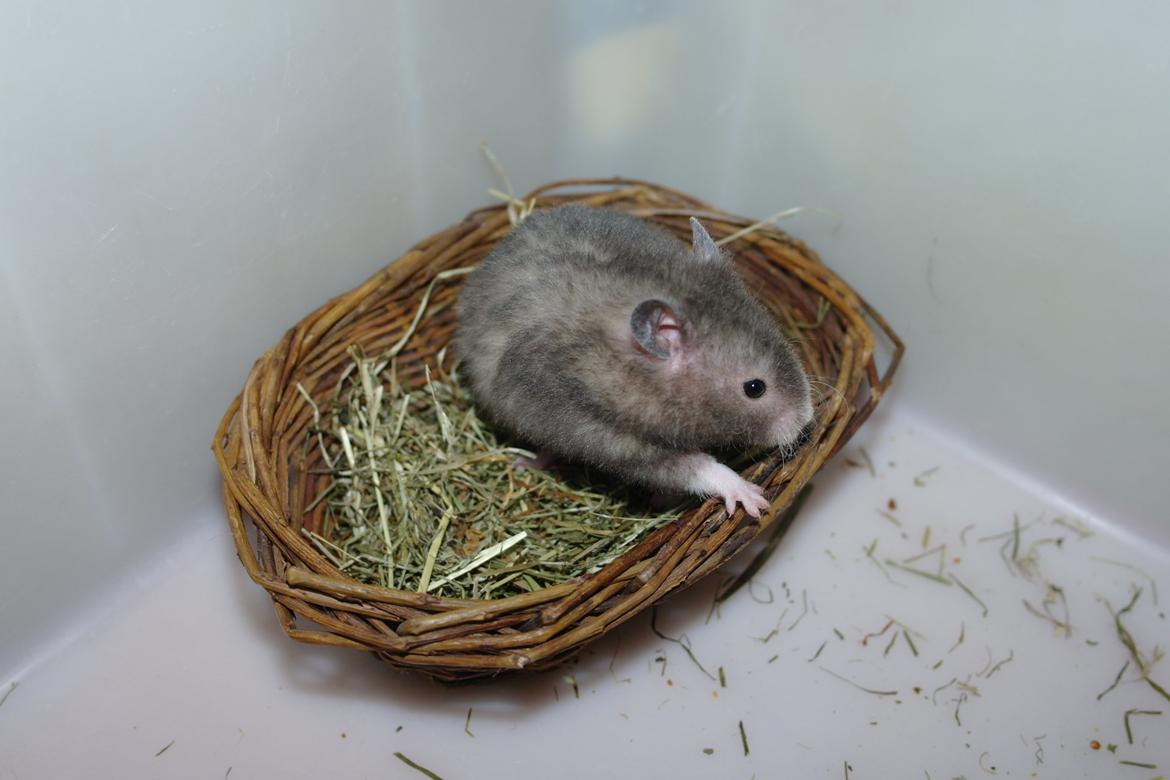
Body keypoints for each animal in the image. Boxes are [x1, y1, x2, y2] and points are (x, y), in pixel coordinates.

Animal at [455, 204, 814, 518]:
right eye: (754, 388)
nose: (807, 420)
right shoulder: (611, 436)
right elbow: (693, 467)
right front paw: (753, 500)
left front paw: (662, 500)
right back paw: (526, 463)